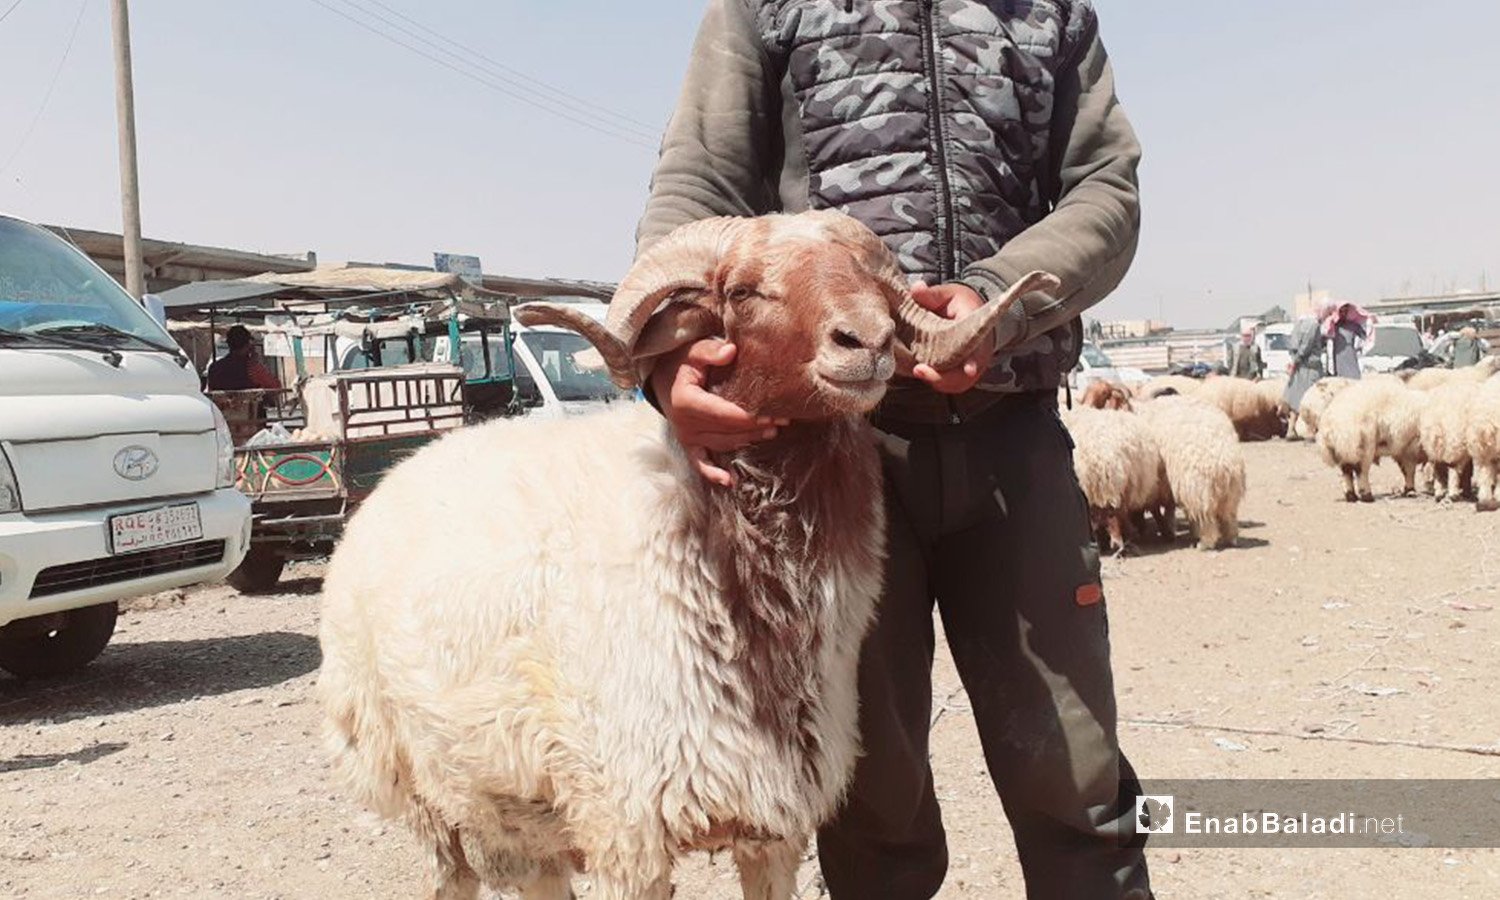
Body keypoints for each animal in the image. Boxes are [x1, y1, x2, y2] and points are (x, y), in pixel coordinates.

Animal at [313, 213, 1056, 900]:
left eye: (871, 282)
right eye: (746, 291)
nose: (866, 343)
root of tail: (407, 467)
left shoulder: (773, 827)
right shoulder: (627, 831)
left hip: (515, 806)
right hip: (427, 794)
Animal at [1062, 405, 1164, 552]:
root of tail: (1100, 460)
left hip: (1106, 492)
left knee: (1108, 516)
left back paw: (1112, 543)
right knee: (1112, 516)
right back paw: (1117, 543)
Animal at [1128, 399, 1248, 552]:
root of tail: (1224, 460)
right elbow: (1167, 510)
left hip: (1198, 489)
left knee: (1206, 520)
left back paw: (1204, 543)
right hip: (1230, 491)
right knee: (1229, 516)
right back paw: (1230, 539)